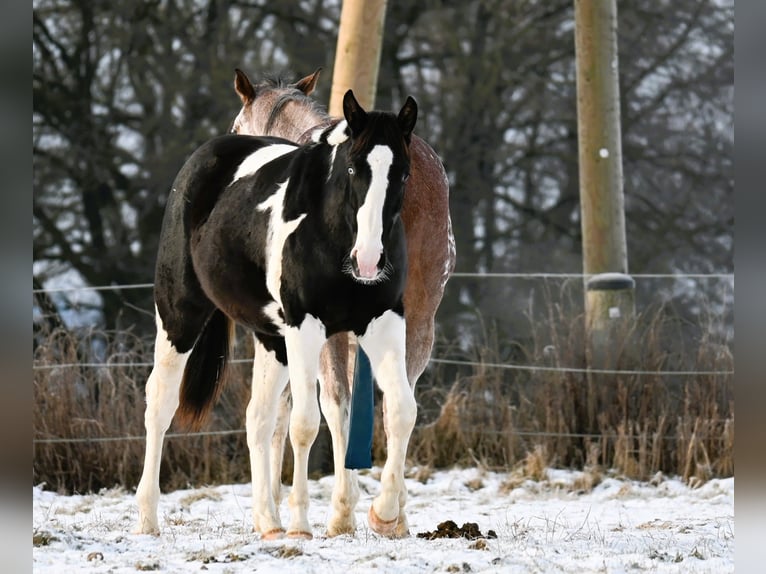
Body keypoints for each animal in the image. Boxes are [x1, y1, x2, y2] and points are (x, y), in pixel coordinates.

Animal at [134, 90, 420, 539]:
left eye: (404, 174)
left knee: (258, 418)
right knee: (160, 403)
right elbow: (305, 424)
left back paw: (267, 522)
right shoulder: (306, 328)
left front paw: (386, 513)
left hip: (272, 339)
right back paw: (147, 520)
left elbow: (403, 411)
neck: (330, 231)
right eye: (353, 167)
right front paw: (301, 525)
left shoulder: (383, 324)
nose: (370, 261)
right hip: (179, 315)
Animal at [229, 68, 456, 533]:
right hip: (419, 320)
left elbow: (288, 415)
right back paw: (390, 514)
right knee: (401, 407)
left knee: (336, 407)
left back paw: (342, 512)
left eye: (238, 129)